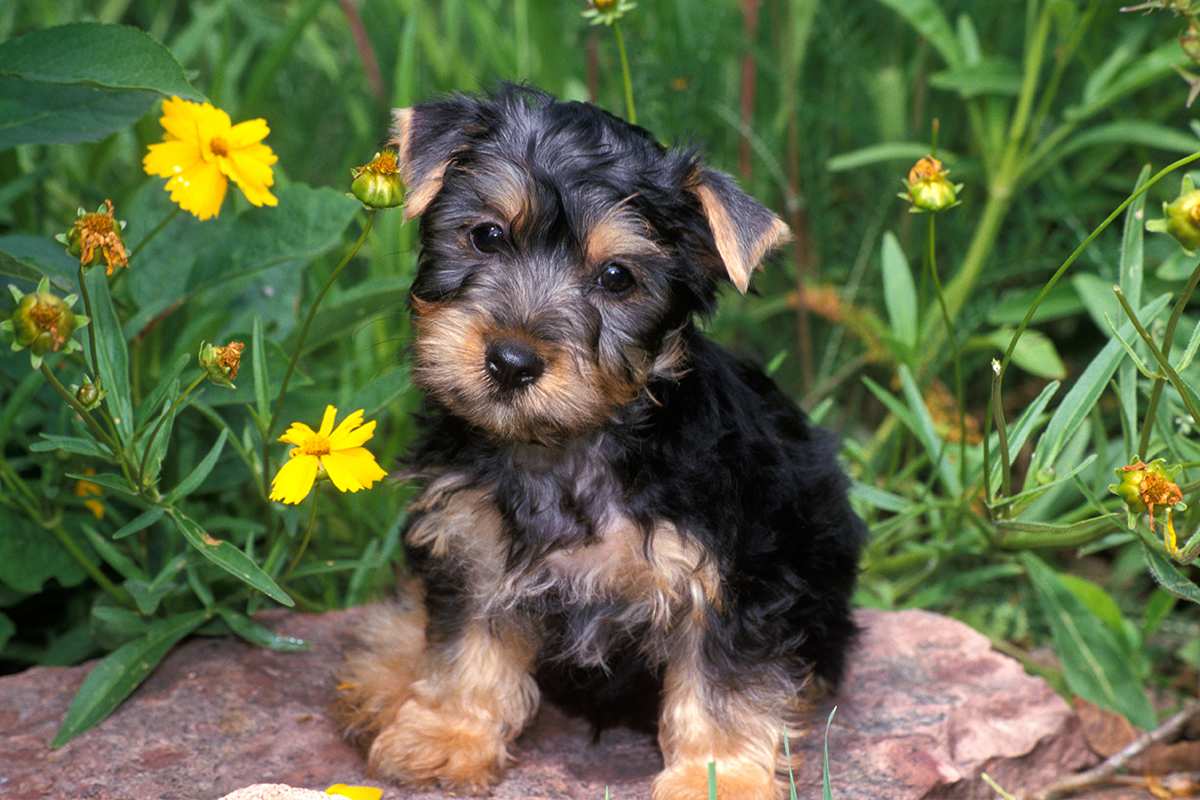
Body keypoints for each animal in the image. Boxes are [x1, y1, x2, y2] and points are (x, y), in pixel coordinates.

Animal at [333, 84, 868, 796]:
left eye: (617, 278)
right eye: (487, 235)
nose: (511, 361)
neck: (567, 445)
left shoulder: (731, 580)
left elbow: (722, 685)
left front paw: (715, 777)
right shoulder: (474, 550)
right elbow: (467, 648)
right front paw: (446, 735)